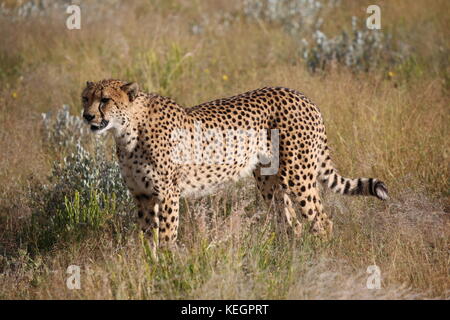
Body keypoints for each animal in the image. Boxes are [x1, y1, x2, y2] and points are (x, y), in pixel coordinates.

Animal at [82, 80, 388, 250]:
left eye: (105, 100)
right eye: (86, 98)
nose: (86, 116)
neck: (127, 130)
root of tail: (302, 95)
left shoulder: (168, 193)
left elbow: (167, 236)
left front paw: (167, 271)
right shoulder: (143, 195)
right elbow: (148, 238)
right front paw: (150, 268)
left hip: (297, 175)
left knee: (322, 221)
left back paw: (318, 261)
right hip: (268, 181)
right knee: (291, 223)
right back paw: (289, 261)